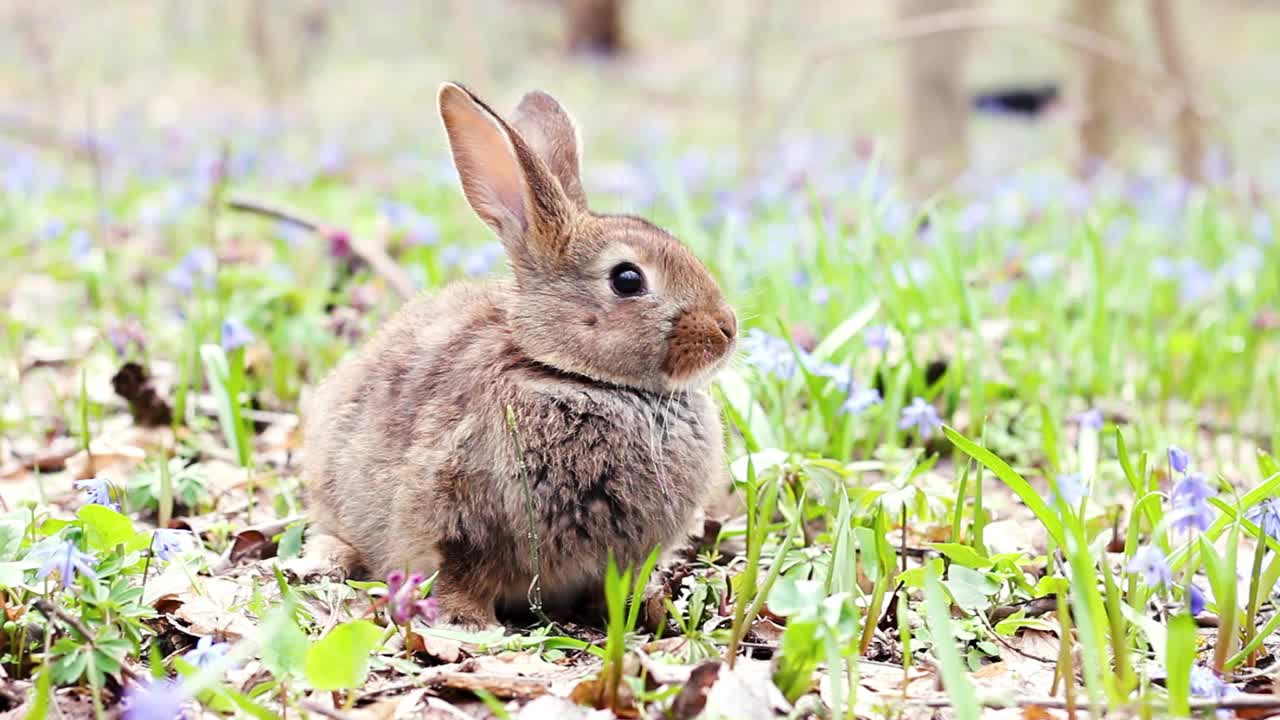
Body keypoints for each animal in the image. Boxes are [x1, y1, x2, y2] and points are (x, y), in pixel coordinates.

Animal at [302, 81, 742, 625]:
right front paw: (470, 622)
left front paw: (649, 608)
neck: (568, 375)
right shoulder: (454, 512)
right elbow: (459, 571)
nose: (727, 330)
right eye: (627, 279)